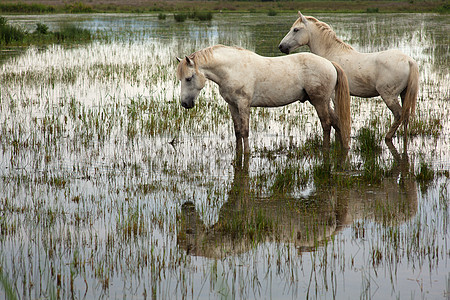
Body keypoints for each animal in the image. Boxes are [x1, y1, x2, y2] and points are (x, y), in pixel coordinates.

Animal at [176, 44, 352, 155]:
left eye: (189, 78)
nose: (185, 104)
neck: (232, 69)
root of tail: (330, 63)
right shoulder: (232, 105)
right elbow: (237, 131)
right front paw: (238, 153)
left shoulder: (243, 105)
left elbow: (245, 131)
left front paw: (247, 154)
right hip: (323, 102)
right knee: (336, 122)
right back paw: (342, 147)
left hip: (319, 102)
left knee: (326, 124)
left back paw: (326, 149)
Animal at [280, 11, 420, 142]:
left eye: (296, 29)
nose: (281, 47)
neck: (331, 53)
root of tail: (409, 61)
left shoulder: (334, 96)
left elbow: (338, 116)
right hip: (404, 94)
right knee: (405, 116)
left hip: (389, 95)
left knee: (398, 114)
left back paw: (387, 137)